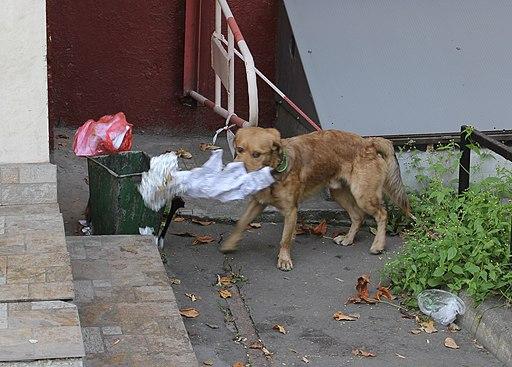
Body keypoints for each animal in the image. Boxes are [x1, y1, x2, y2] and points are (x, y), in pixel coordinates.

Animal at [220, 128, 412, 272]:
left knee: (382, 214)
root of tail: (369, 143)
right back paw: (348, 239)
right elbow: (241, 223)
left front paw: (284, 260)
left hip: (363, 196)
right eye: (239, 149)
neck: (273, 172)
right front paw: (229, 243)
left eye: (256, 154)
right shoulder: (257, 203)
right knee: (358, 216)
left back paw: (378, 245)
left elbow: (285, 239)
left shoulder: (291, 211)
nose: (234, 170)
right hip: (339, 193)